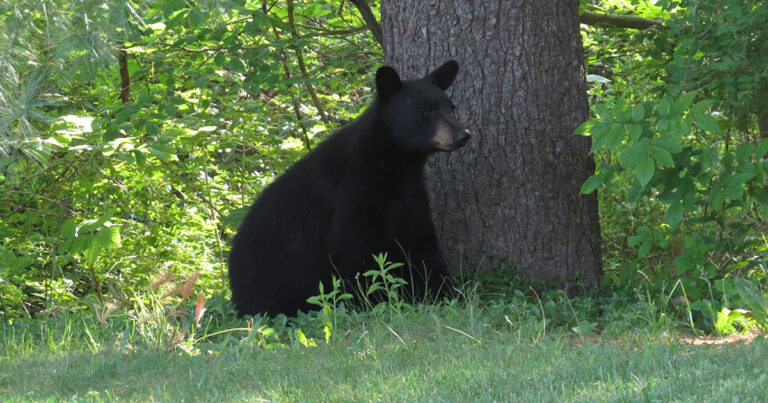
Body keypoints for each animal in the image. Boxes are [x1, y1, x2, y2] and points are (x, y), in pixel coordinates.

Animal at [228, 60, 470, 316]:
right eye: (426, 111)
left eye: (451, 107)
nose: (462, 135)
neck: (394, 164)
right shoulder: (352, 193)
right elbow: (353, 250)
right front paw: (368, 303)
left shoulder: (410, 197)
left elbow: (422, 247)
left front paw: (447, 294)